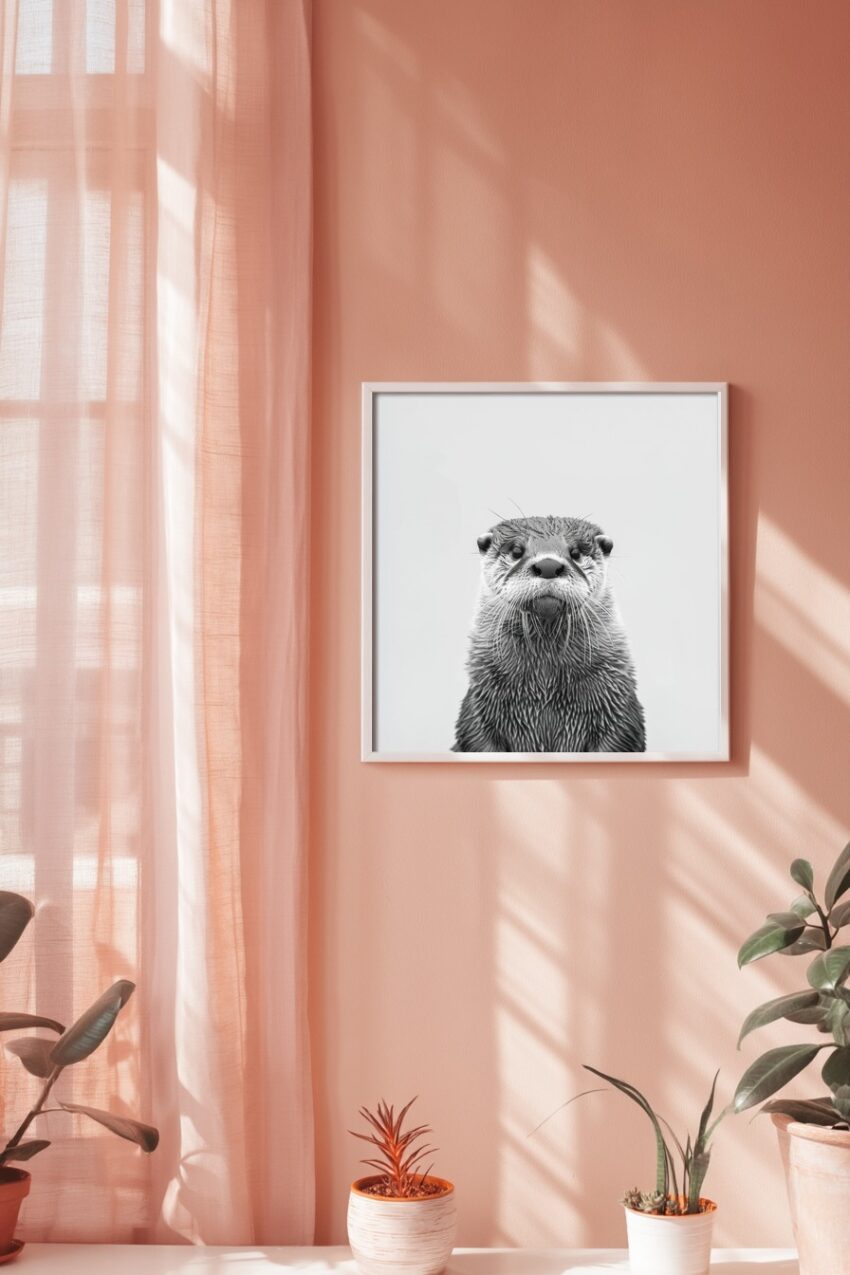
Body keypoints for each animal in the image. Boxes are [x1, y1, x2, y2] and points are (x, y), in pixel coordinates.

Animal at [453, 515, 646, 753]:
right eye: (516, 551)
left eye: (575, 552)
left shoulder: (618, 707)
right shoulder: (479, 708)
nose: (548, 565)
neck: (545, 686)